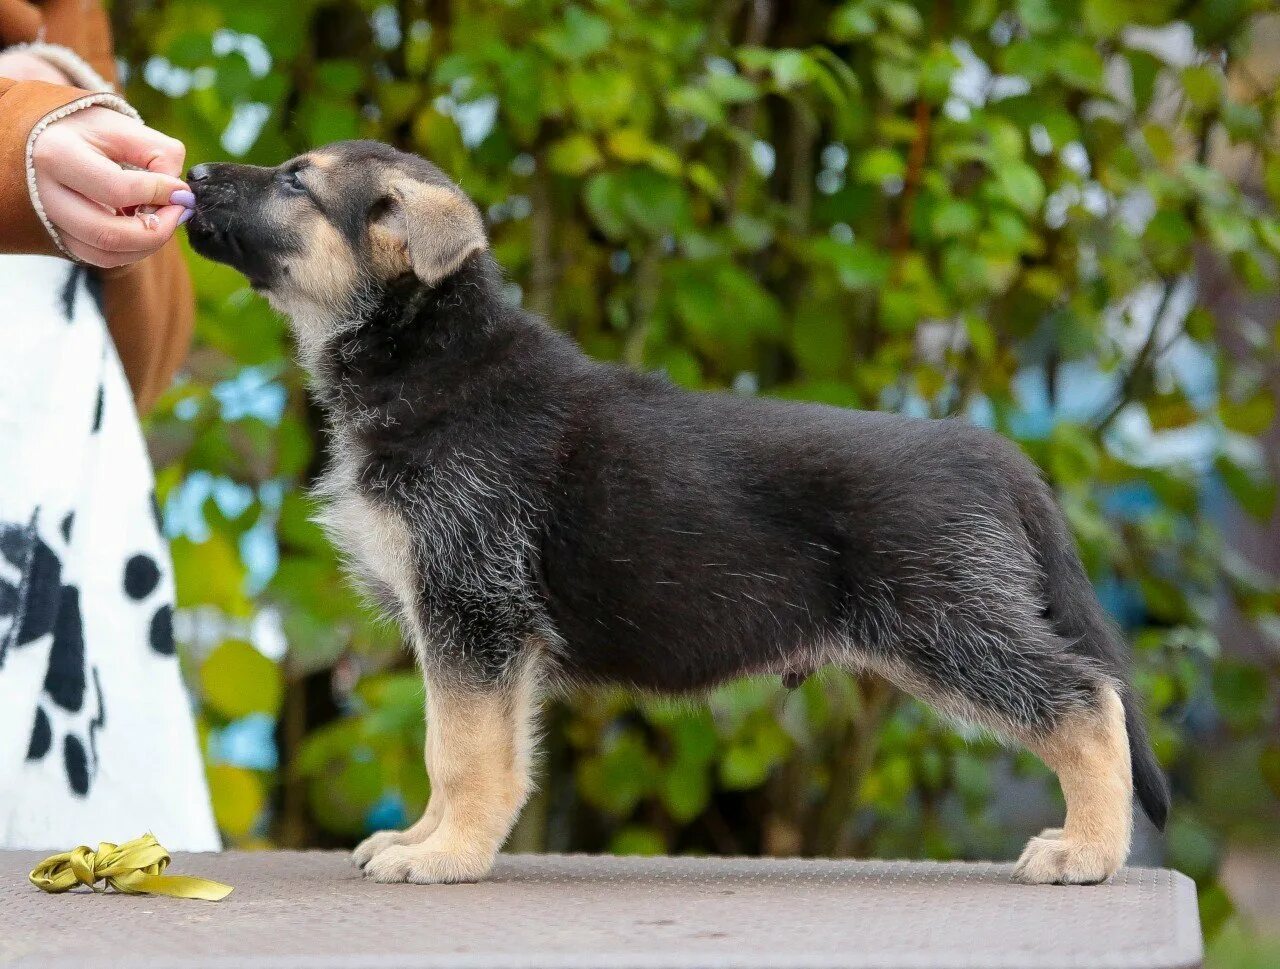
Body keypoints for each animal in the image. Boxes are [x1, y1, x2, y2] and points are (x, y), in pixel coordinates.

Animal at [183, 138, 1172, 885]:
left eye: (297, 181)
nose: (191, 170)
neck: (428, 354)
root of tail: (993, 453)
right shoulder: (467, 630)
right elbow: (459, 745)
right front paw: (426, 837)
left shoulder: (474, 610)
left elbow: (461, 751)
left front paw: (447, 855)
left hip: (948, 624)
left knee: (1086, 697)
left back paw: (1089, 850)